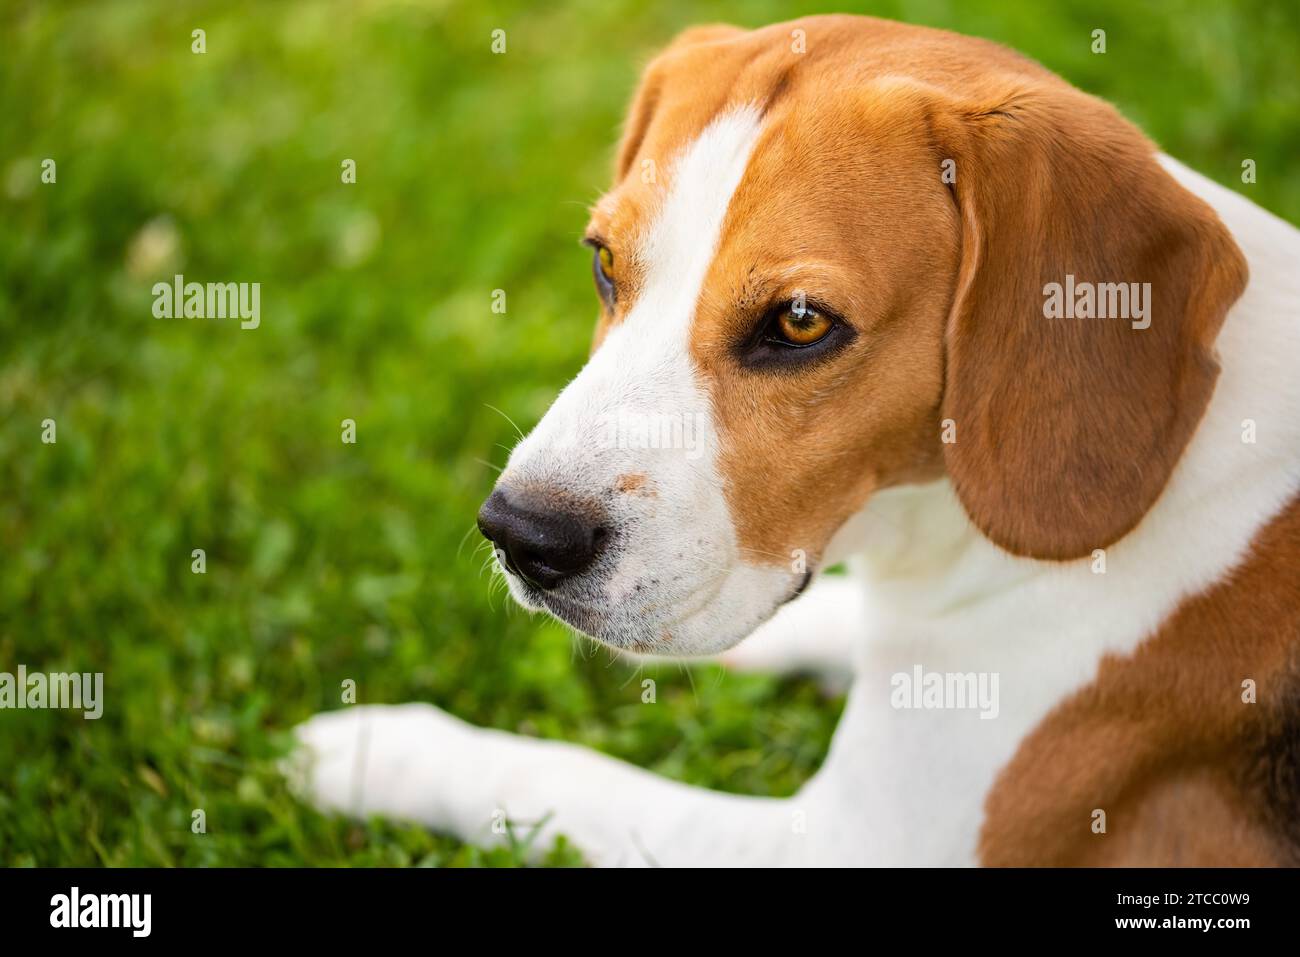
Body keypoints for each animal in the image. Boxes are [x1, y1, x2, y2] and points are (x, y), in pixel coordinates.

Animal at [295, 14, 1300, 868]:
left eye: (801, 321)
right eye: (603, 262)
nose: (519, 534)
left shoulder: (854, 844)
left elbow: (560, 774)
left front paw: (383, 750)